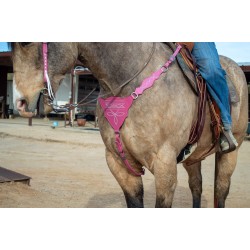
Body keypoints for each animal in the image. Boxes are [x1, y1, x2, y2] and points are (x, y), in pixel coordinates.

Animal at [11, 42, 248, 207]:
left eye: (25, 42)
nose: (20, 102)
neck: (128, 82)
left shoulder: (165, 165)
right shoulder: (119, 163)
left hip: (230, 152)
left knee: (221, 191)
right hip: (193, 157)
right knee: (196, 186)